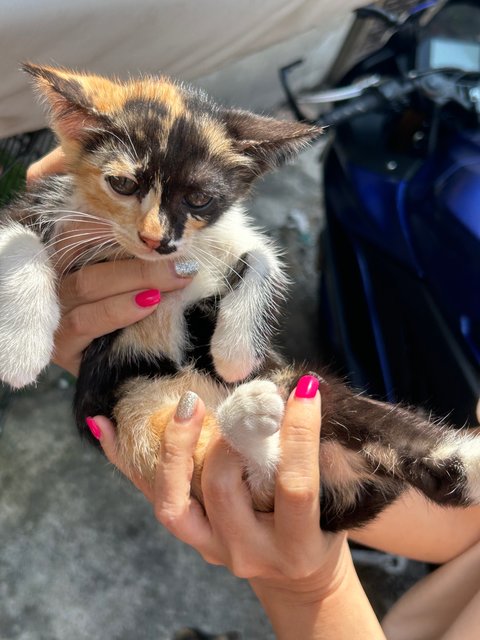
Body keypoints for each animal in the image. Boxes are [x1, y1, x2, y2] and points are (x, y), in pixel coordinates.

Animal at [1, 63, 478, 528]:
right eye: (122, 184)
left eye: (199, 199)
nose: (157, 240)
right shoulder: (48, 198)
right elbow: (19, 239)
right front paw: (23, 351)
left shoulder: (230, 232)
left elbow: (262, 258)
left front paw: (233, 352)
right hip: (134, 398)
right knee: (250, 474)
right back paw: (249, 417)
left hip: (305, 387)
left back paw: (463, 460)